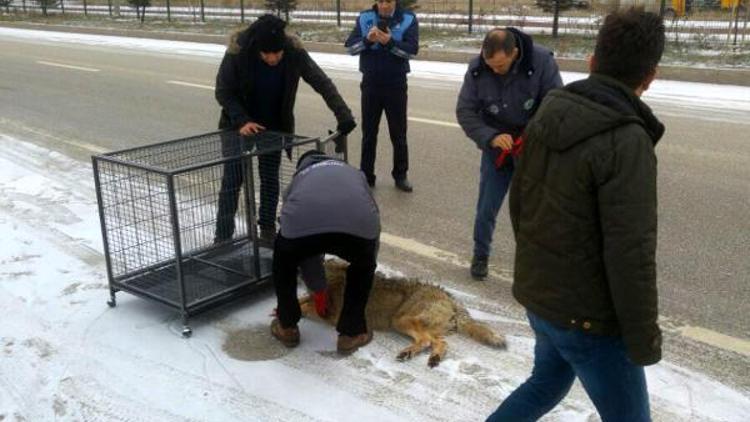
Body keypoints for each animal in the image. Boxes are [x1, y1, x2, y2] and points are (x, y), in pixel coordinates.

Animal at [298, 258, 506, 368]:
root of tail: (449, 296)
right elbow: (302, 300)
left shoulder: (332, 316)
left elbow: (304, 306)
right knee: (441, 343)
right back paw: (433, 358)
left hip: (400, 320)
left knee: (426, 341)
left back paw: (407, 353)